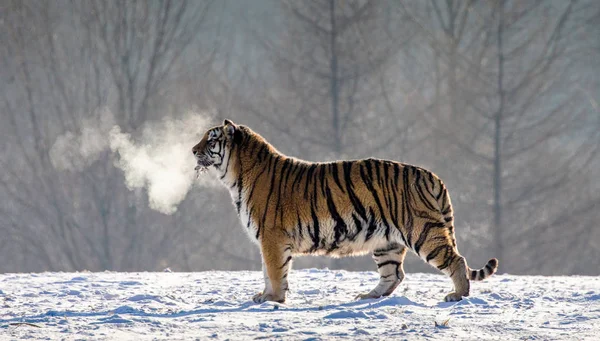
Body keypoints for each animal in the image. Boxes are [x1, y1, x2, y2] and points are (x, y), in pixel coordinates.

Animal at [192, 119, 496, 302]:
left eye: (211, 140)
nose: (193, 150)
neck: (236, 175)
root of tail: (432, 175)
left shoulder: (272, 237)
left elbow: (275, 271)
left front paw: (273, 299)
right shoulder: (268, 240)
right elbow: (268, 271)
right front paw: (264, 296)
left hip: (422, 231)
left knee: (456, 260)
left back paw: (458, 295)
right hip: (387, 241)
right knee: (394, 275)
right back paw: (368, 297)